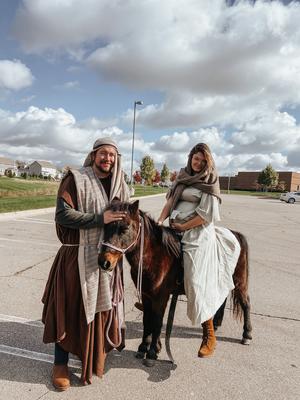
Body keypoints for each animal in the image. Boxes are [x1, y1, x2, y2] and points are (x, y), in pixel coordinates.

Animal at [98, 200, 251, 366]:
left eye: (125, 228)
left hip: (239, 281)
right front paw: (144, 347)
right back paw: (216, 324)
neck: (155, 256)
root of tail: (236, 234)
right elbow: (147, 320)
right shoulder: (146, 295)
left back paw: (246, 334)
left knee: (245, 303)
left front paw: (152, 352)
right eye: (105, 226)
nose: (104, 262)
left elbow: (157, 322)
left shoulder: (161, 297)